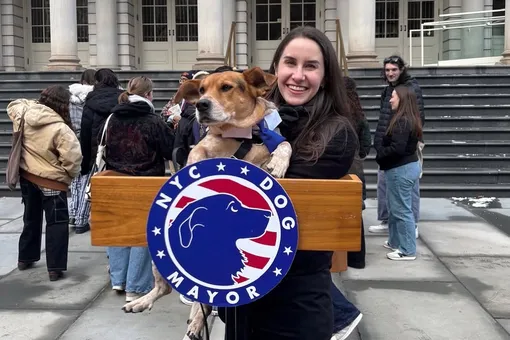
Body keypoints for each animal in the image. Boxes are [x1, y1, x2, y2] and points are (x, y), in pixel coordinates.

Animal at [121, 67, 292, 340]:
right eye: (202, 90)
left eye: (227, 87)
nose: (201, 104)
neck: (240, 134)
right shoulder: (202, 147)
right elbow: (196, 156)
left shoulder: (270, 140)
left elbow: (284, 144)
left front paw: (278, 163)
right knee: (169, 290)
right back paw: (148, 304)